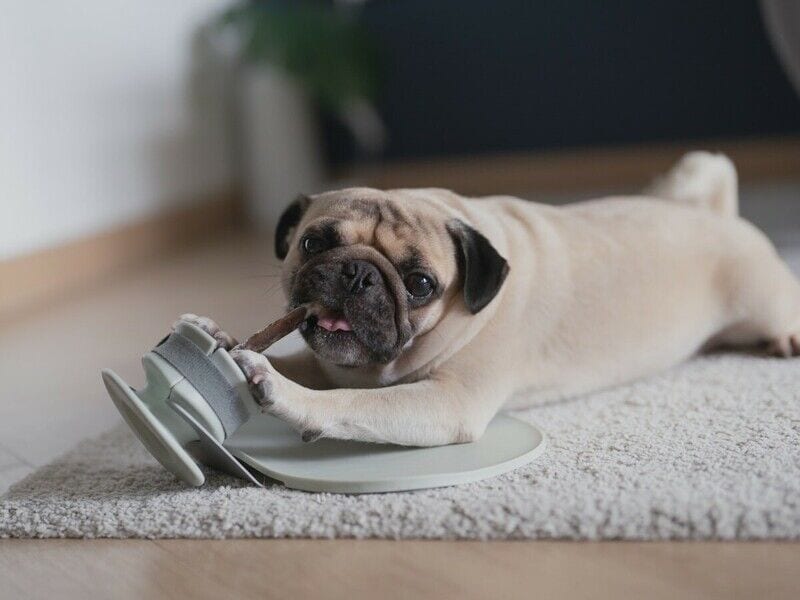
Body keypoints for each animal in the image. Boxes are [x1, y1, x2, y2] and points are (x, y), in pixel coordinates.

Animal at [180, 151, 800, 446]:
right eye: (312, 243)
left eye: (420, 284)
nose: (357, 274)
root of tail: (714, 212)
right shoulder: (330, 362)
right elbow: (295, 359)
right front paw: (227, 343)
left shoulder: (445, 402)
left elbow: (348, 405)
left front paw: (280, 390)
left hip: (765, 298)